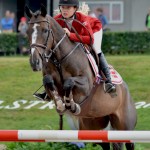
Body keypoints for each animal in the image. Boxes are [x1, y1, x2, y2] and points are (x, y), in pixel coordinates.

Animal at [24, 4, 137, 150]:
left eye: (45, 31)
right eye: (27, 32)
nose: (35, 63)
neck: (59, 59)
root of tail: (126, 90)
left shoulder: (86, 86)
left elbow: (69, 82)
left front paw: (71, 104)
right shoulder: (49, 82)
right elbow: (48, 81)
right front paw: (61, 105)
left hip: (125, 127)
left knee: (129, 142)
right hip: (94, 125)